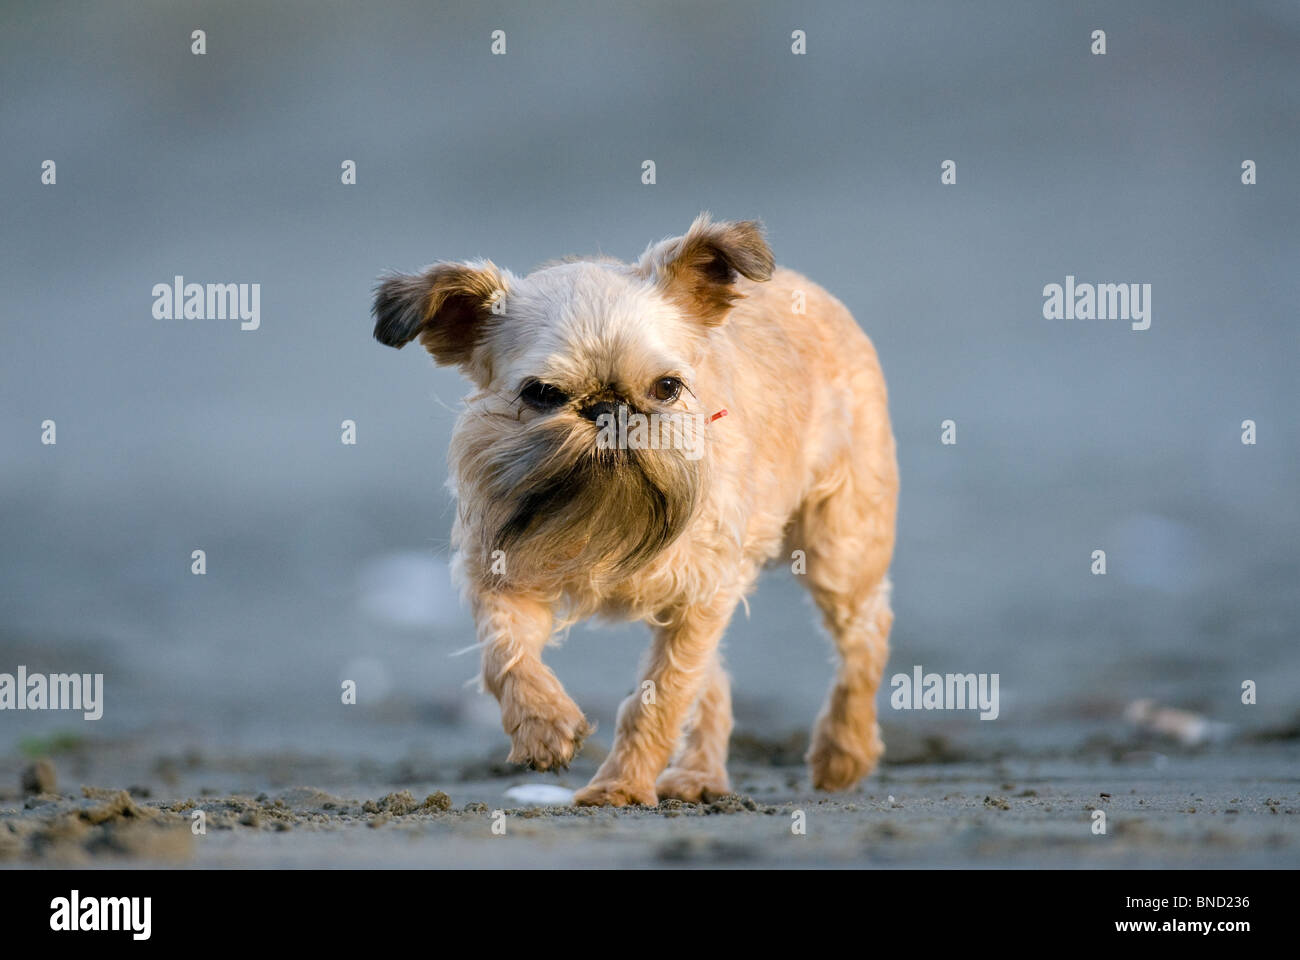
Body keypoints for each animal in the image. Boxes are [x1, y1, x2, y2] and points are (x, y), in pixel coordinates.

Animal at [371, 214, 899, 801]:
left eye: (667, 387)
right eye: (542, 394)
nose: (610, 408)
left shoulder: (699, 596)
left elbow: (662, 697)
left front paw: (620, 786)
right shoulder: (502, 572)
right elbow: (505, 654)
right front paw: (543, 726)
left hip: (839, 548)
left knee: (864, 634)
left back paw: (843, 751)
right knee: (715, 677)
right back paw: (699, 775)